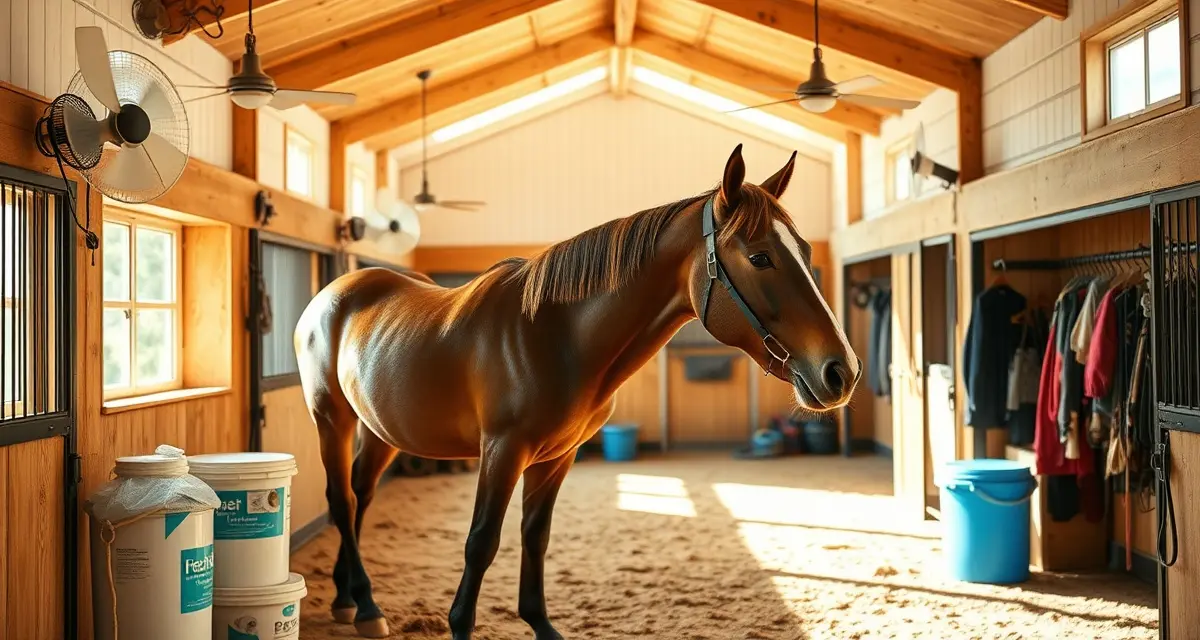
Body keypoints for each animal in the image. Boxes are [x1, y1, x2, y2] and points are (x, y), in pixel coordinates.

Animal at [294, 144, 860, 639]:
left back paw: (348, 599)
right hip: (332, 419)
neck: (553, 335)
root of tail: (333, 295)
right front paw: (459, 623)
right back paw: (367, 606)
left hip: (380, 430)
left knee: (361, 496)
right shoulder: (501, 451)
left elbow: (535, 535)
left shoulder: (556, 456)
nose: (842, 372)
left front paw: (539, 623)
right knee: (341, 500)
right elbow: (482, 542)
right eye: (760, 257)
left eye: (804, 250)